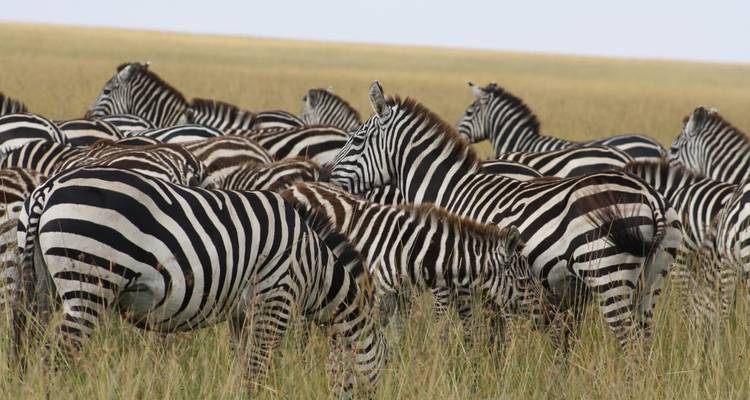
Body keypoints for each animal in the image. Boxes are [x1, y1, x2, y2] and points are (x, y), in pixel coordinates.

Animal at [14, 166, 387, 397]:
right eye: (378, 377)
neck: (314, 265)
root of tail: (49, 188)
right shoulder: (276, 296)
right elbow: (259, 368)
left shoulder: (242, 313)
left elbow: (243, 367)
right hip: (88, 285)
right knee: (54, 359)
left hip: (44, 289)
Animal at [284, 182, 535, 340]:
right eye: (524, 281)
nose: (539, 316)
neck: (411, 252)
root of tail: (295, 186)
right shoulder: (377, 291)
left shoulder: (402, 295)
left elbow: (399, 334)